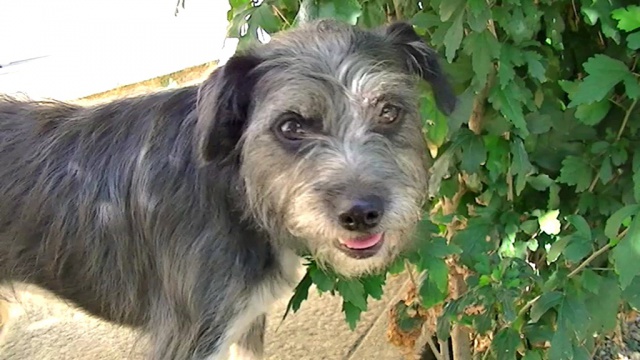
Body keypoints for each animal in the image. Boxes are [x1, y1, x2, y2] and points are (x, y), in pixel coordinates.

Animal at [0, 18, 458, 358]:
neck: (235, 193)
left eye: (389, 111)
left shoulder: (245, 325)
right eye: (291, 126)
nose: (361, 214)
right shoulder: (189, 339)